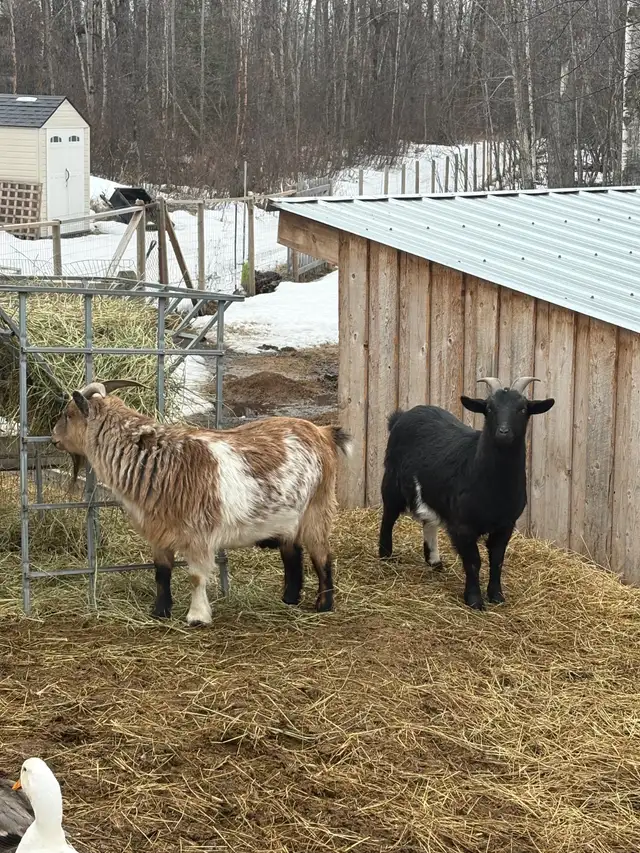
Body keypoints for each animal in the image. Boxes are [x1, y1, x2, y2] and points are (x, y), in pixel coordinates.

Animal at [51, 380, 352, 625]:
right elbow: (162, 571)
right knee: (293, 552)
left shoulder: (199, 534)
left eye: (68, 414)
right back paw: (289, 599)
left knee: (322, 555)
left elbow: (196, 576)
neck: (160, 461)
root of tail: (322, 432)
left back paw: (323, 604)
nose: (53, 439)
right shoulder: (159, 532)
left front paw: (197, 617)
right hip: (285, 516)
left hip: (317, 508)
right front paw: (160, 611)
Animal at [378, 376, 554, 610]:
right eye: (489, 408)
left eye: (523, 409)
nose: (503, 433)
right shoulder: (463, 526)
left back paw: (434, 560)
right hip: (392, 480)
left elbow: (497, 560)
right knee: (388, 515)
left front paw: (497, 596)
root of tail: (402, 417)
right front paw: (474, 600)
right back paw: (385, 555)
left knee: (428, 519)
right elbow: (473, 562)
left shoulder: (506, 524)